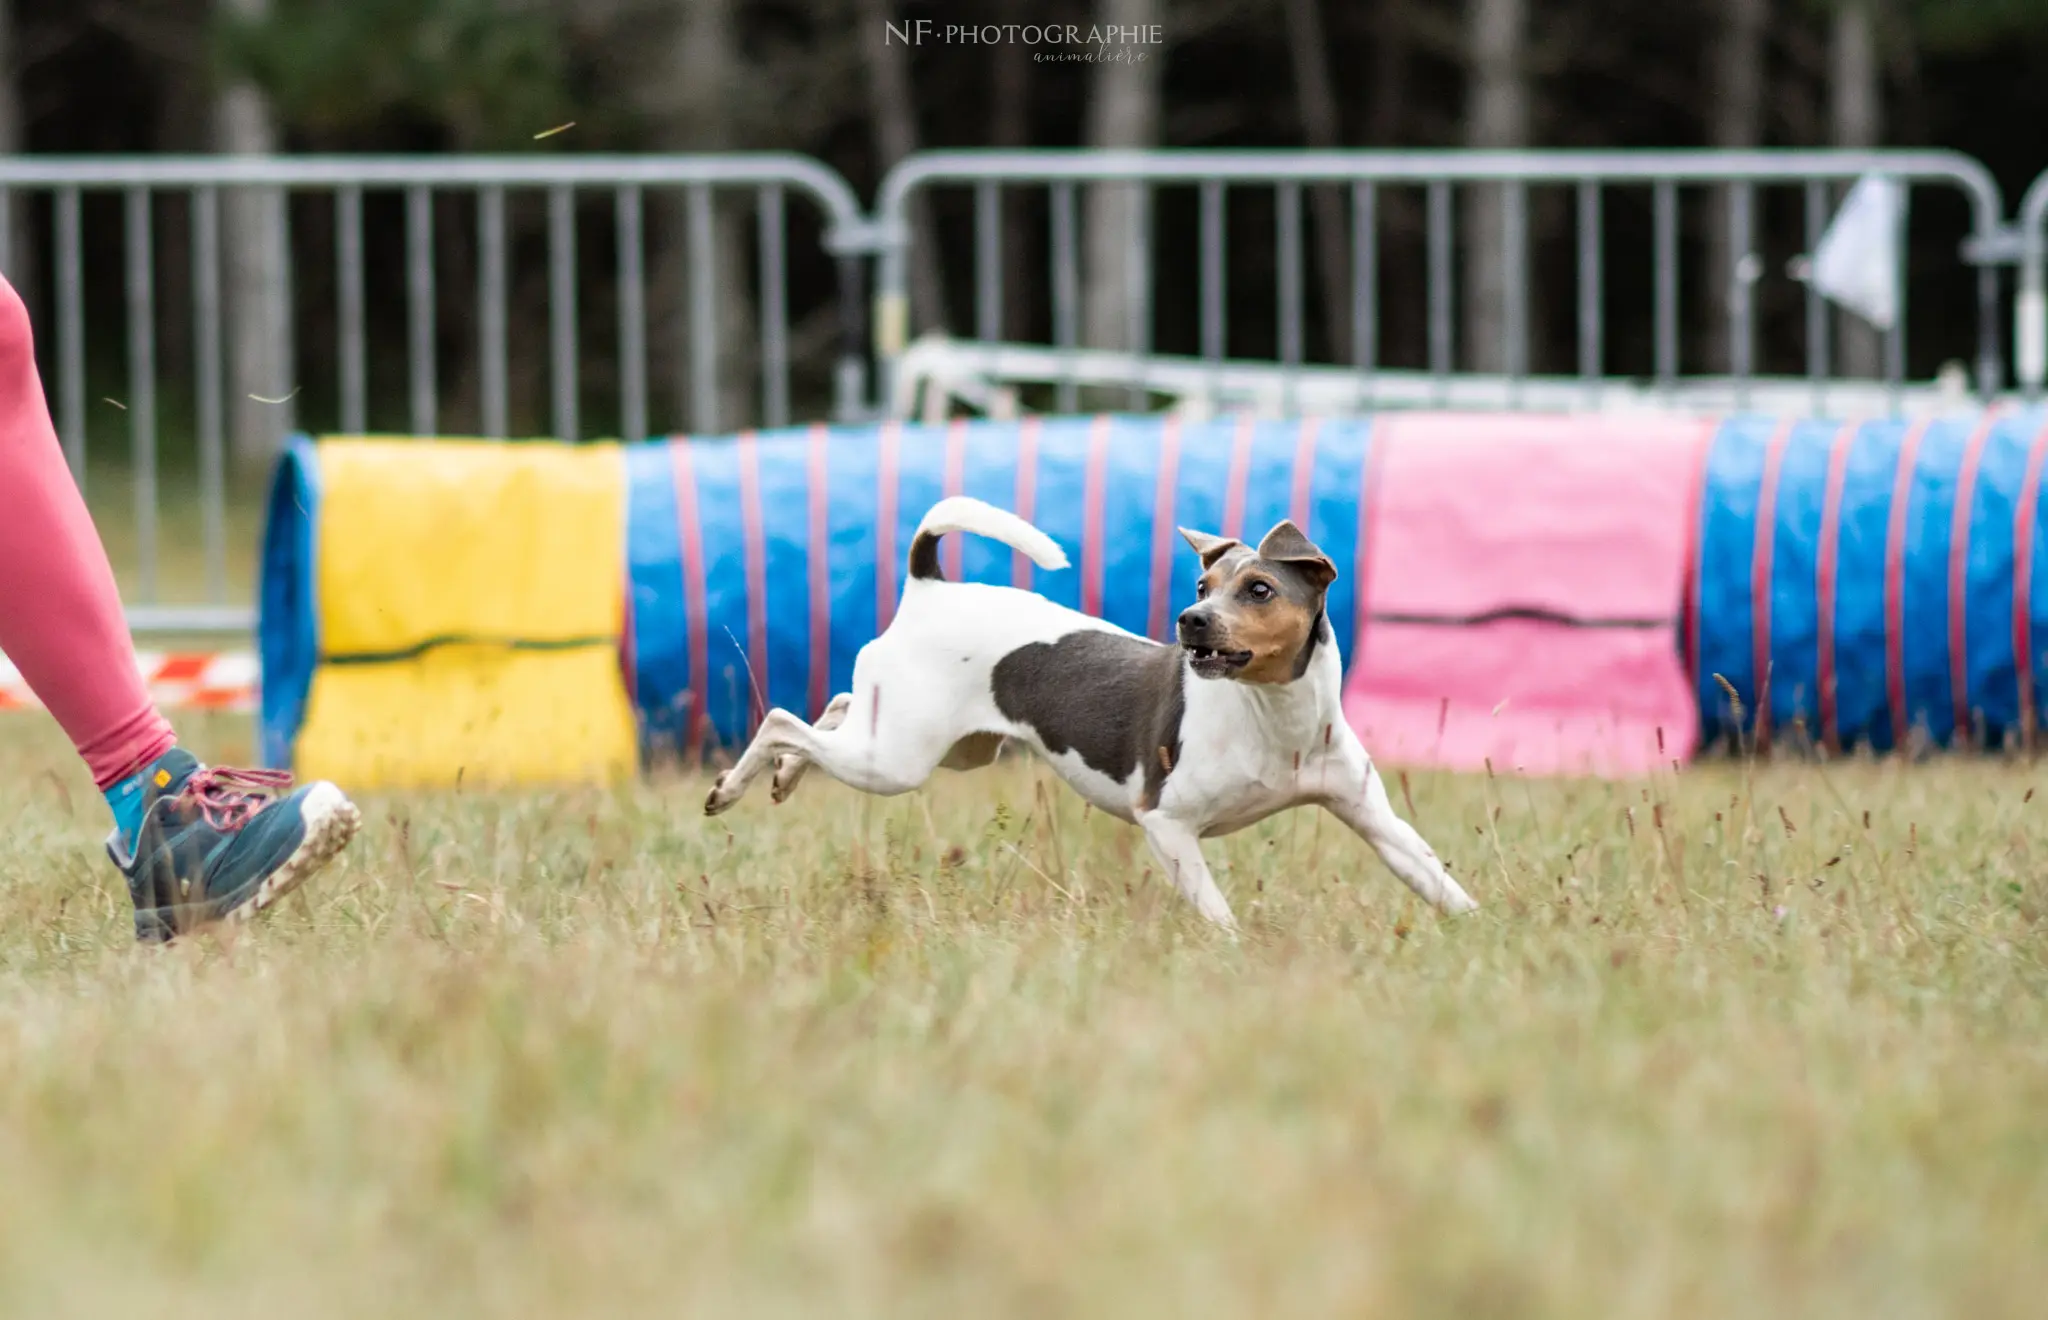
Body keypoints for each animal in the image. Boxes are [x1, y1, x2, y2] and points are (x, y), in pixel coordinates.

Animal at [704, 495, 1474, 925]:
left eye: (1258, 589)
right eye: (1203, 585)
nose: (1190, 619)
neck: (1270, 713)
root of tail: (929, 585)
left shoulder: (1373, 819)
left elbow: (1435, 878)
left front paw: (1479, 926)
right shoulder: (1165, 823)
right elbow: (1215, 910)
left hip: (937, 746)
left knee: (833, 707)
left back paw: (784, 777)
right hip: (895, 761)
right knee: (782, 721)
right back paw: (733, 787)